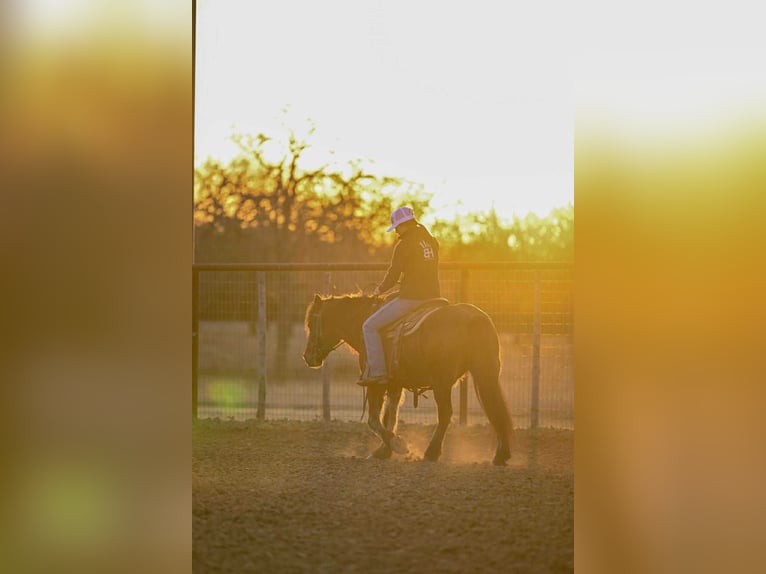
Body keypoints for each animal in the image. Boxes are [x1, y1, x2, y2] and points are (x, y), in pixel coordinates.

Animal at [302, 293, 513, 465]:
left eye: (311, 323)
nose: (307, 357)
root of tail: (474, 318)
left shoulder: (375, 383)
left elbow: (373, 419)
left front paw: (397, 445)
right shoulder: (394, 384)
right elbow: (390, 414)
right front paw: (383, 451)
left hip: (442, 383)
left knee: (446, 414)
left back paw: (431, 453)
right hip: (485, 373)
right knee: (495, 408)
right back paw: (501, 455)